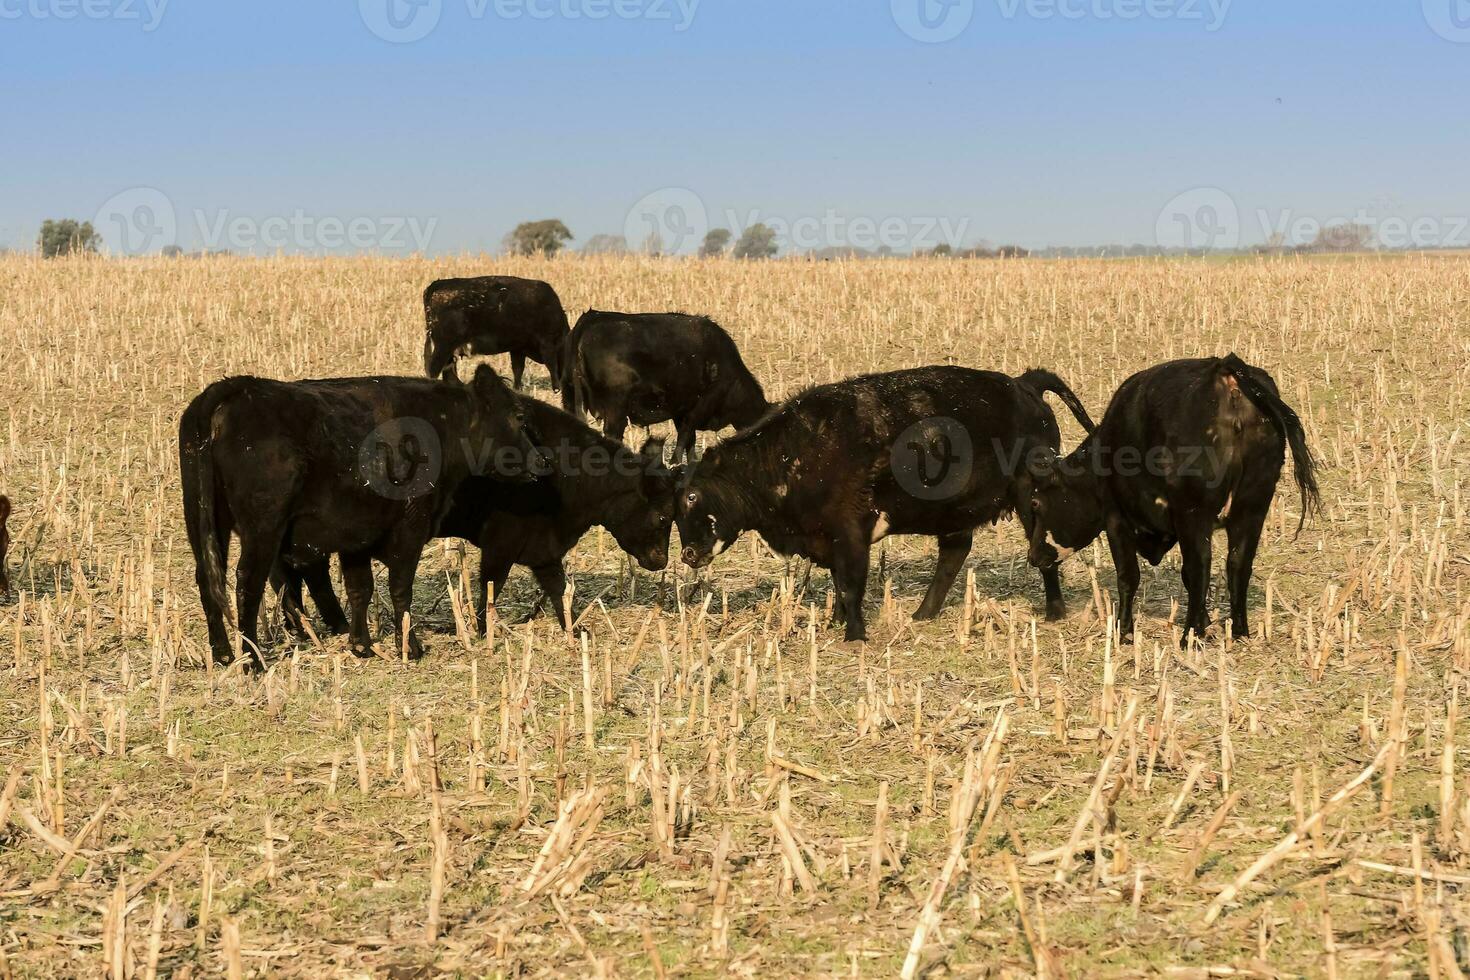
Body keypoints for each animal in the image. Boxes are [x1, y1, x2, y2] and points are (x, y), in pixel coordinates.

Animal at [177, 364, 535, 669]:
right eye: (519, 416)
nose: (541, 460)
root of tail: (237, 387)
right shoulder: (410, 527)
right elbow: (400, 588)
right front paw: (409, 647)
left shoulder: (356, 535)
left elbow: (359, 588)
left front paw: (361, 645)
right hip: (263, 528)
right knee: (247, 583)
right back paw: (252, 660)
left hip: (205, 520)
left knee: (208, 579)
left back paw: (222, 654)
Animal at [276, 399, 676, 637]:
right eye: (661, 516)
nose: (661, 561)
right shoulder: (501, 544)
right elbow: (491, 587)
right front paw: (484, 631)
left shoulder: (543, 548)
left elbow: (558, 588)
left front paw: (573, 628)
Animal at [423, 276, 570, 390]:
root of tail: (437, 284)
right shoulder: (547, 344)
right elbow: (551, 365)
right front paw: (557, 388)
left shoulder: (517, 348)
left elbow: (518, 369)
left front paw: (517, 388)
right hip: (443, 347)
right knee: (434, 369)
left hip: (448, 349)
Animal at [558, 310, 770, 461]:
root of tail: (589, 320)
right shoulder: (699, 405)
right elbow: (685, 436)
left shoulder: (680, 409)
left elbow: (689, 441)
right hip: (615, 411)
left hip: (570, 398)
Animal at [1023, 357, 1323, 646]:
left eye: (1036, 503)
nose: (1033, 555)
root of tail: (1224, 372)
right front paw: (1205, 623)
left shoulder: (1117, 518)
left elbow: (1129, 576)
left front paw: (1124, 632)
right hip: (1252, 507)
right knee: (1238, 564)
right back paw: (1238, 633)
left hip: (1195, 513)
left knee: (1200, 566)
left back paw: (1189, 636)